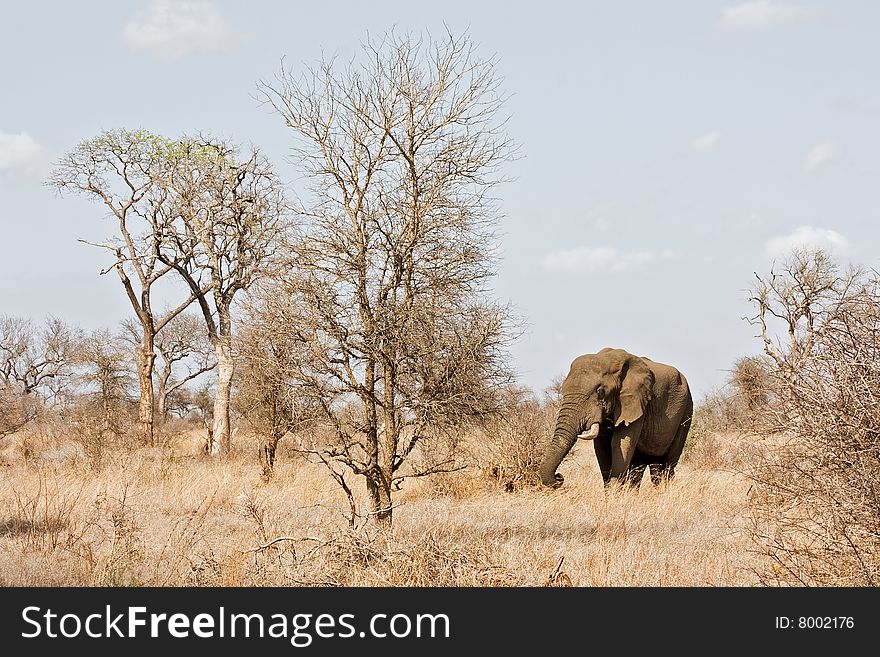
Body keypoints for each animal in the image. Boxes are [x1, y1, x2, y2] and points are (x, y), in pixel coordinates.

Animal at [540, 348, 692, 486]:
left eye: (600, 391)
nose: (559, 476)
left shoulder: (637, 402)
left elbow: (620, 443)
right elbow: (602, 448)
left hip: (686, 410)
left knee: (668, 464)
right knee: (645, 465)